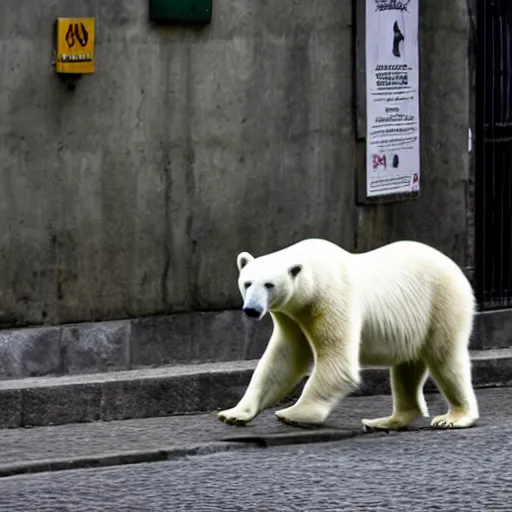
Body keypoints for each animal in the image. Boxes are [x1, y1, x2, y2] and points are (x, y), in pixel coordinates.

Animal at [217, 238, 480, 430]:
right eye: (247, 283)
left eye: (269, 284)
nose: (251, 309)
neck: (314, 273)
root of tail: (456, 268)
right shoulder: (292, 316)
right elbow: (283, 360)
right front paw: (233, 414)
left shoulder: (330, 299)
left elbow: (337, 363)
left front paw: (293, 414)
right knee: (407, 367)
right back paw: (383, 422)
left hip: (442, 303)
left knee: (445, 359)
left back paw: (453, 417)